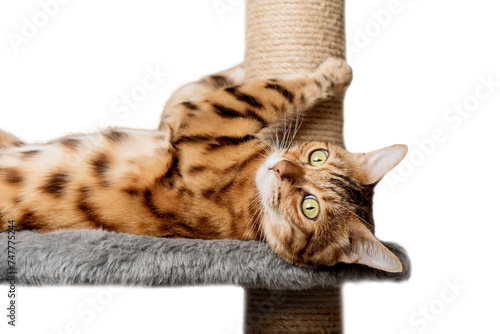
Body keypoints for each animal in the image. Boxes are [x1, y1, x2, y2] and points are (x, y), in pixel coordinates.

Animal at [0, 57, 406, 272]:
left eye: (310, 207)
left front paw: (336, 71)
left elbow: (275, 89)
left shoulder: (203, 116)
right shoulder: (179, 114)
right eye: (316, 156)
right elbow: (219, 79)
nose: (280, 169)